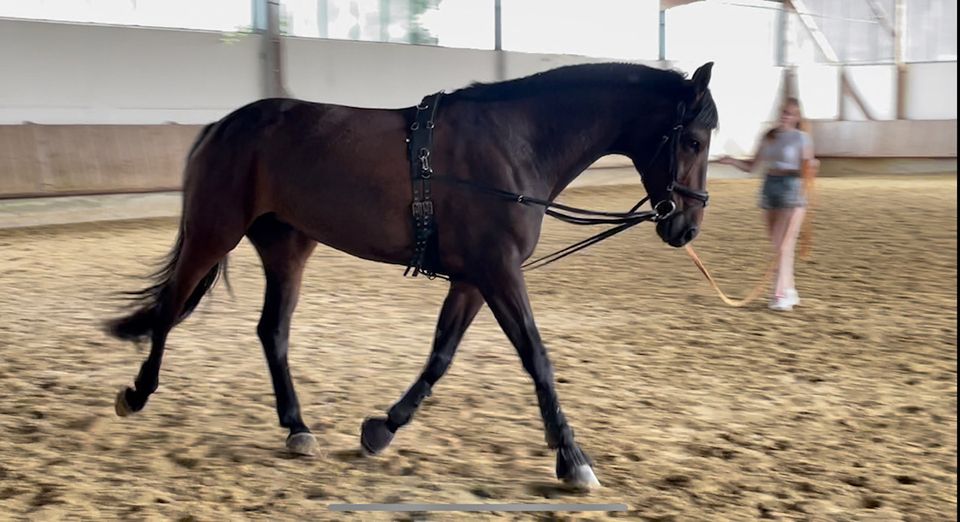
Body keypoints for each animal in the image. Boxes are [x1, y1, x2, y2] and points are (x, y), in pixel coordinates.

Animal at [107, 61, 720, 488]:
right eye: (691, 139)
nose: (686, 227)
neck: (518, 143)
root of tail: (223, 124)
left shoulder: (475, 279)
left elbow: (441, 355)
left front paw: (382, 429)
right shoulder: (499, 272)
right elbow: (537, 358)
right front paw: (572, 460)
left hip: (287, 246)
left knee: (271, 331)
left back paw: (298, 427)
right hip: (214, 232)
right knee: (171, 308)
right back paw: (138, 393)